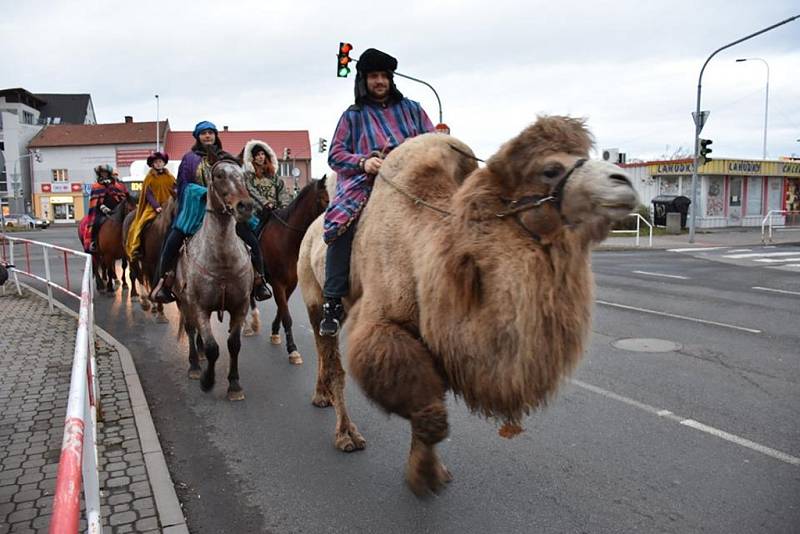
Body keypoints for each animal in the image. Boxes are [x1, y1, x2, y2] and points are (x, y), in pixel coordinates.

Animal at [176, 151, 256, 402]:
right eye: (219, 175)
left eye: (244, 176)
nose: (245, 206)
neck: (222, 261)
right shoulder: (198, 305)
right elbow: (213, 348)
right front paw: (207, 381)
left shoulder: (240, 305)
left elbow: (233, 344)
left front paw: (234, 384)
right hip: (184, 302)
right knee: (191, 330)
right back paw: (194, 365)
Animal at [244, 178, 332, 366]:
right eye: (325, 200)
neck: (286, 239)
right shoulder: (278, 284)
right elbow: (287, 316)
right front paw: (292, 349)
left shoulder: (290, 284)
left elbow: (281, 310)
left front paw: (275, 333)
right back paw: (248, 326)